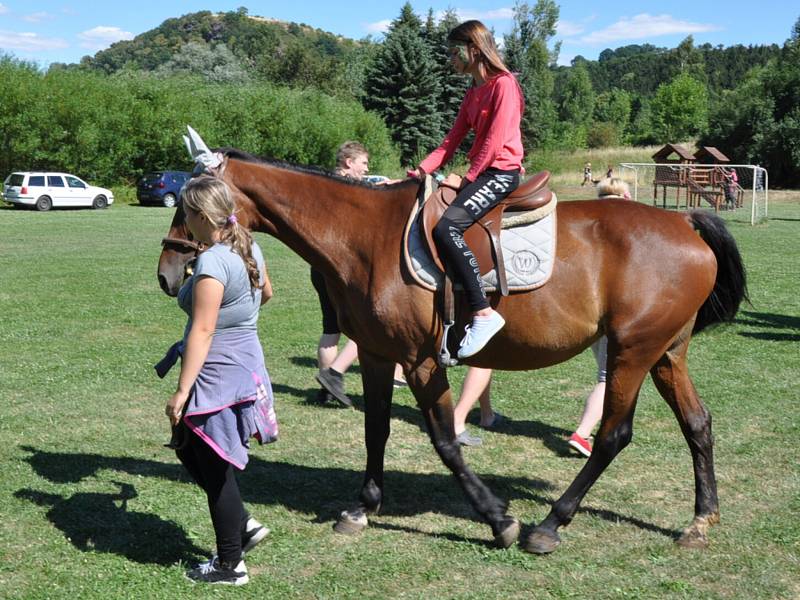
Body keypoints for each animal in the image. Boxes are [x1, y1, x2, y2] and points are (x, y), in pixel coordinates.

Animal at [159, 146, 748, 552]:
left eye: (186, 206)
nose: (167, 271)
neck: (362, 236)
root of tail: (683, 220)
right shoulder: (377, 354)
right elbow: (376, 430)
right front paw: (363, 507)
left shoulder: (421, 361)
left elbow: (444, 441)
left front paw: (499, 519)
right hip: (665, 353)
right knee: (698, 423)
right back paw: (701, 519)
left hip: (631, 351)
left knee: (613, 436)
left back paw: (550, 523)